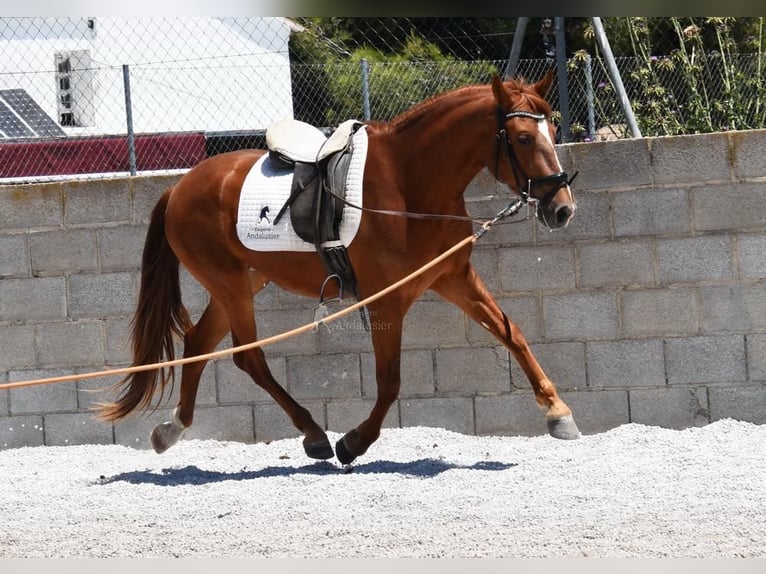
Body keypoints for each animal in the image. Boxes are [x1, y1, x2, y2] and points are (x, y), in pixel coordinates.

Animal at [97, 72, 581, 465]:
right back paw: (314, 435)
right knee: (249, 357)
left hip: (242, 282)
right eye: (522, 138)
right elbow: (390, 381)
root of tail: (179, 187)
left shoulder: (453, 279)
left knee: (200, 342)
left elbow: (512, 333)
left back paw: (172, 429)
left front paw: (559, 413)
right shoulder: (387, 300)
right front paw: (354, 443)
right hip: (230, 285)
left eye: (554, 130)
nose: (562, 210)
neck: (409, 183)